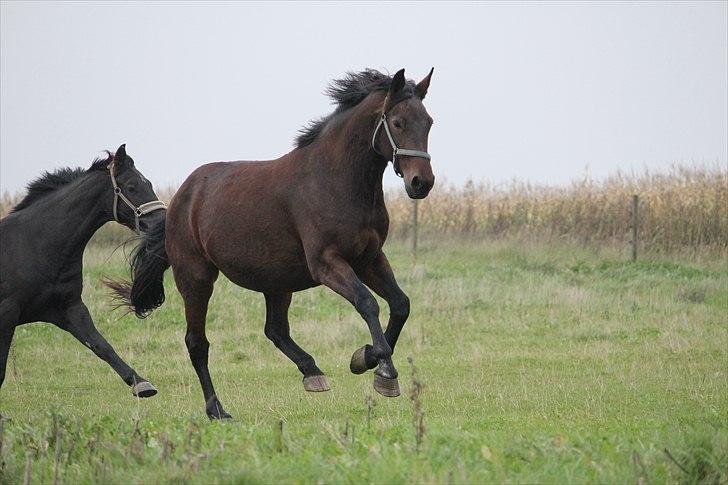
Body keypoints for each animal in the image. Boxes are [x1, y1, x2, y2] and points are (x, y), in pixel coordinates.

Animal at [0, 144, 166, 398]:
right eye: (131, 187)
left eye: (148, 184)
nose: (163, 222)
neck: (35, 244)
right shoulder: (7, 312)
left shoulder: (70, 309)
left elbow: (101, 345)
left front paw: (141, 384)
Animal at [111, 66, 436, 418]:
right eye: (398, 122)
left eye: (429, 122)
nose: (422, 183)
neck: (335, 181)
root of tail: (181, 199)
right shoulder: (327, 262)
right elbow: (368, 303)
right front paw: (384, 372)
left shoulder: (370, 258)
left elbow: (401, 304)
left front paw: (364, 359)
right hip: (196, 279)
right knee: (197, 343)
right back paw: (217, 410)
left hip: (277, 281)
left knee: (275, 330)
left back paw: (312, 373)